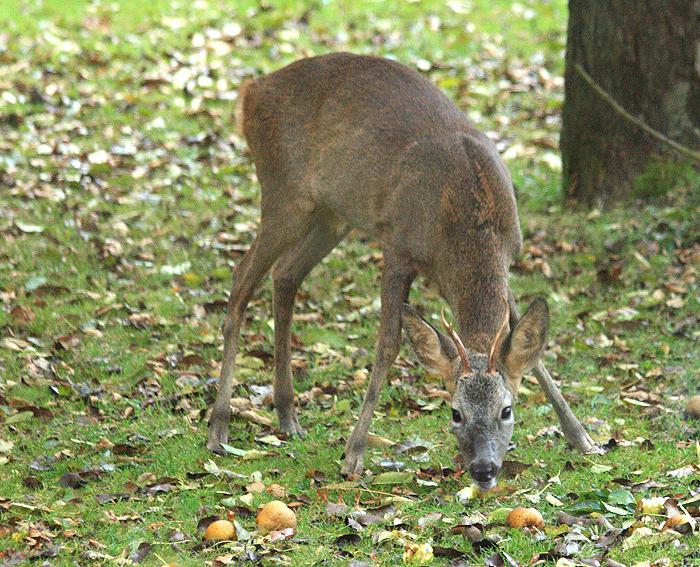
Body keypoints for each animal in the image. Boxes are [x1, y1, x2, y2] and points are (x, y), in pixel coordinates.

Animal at [209, 53, 596, 486]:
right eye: (455, 412)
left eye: (507, 410)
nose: (484, 469)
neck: (464, 228)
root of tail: (251, 90)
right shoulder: (397, 246)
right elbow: (388, 346)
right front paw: (353, 453)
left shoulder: (508, 255)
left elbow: (531, 348)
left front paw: (582, 438)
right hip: (284, 192)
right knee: (241, 277)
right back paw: (219, 427)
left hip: (331, 214)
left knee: (285, 274)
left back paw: (287, 415)